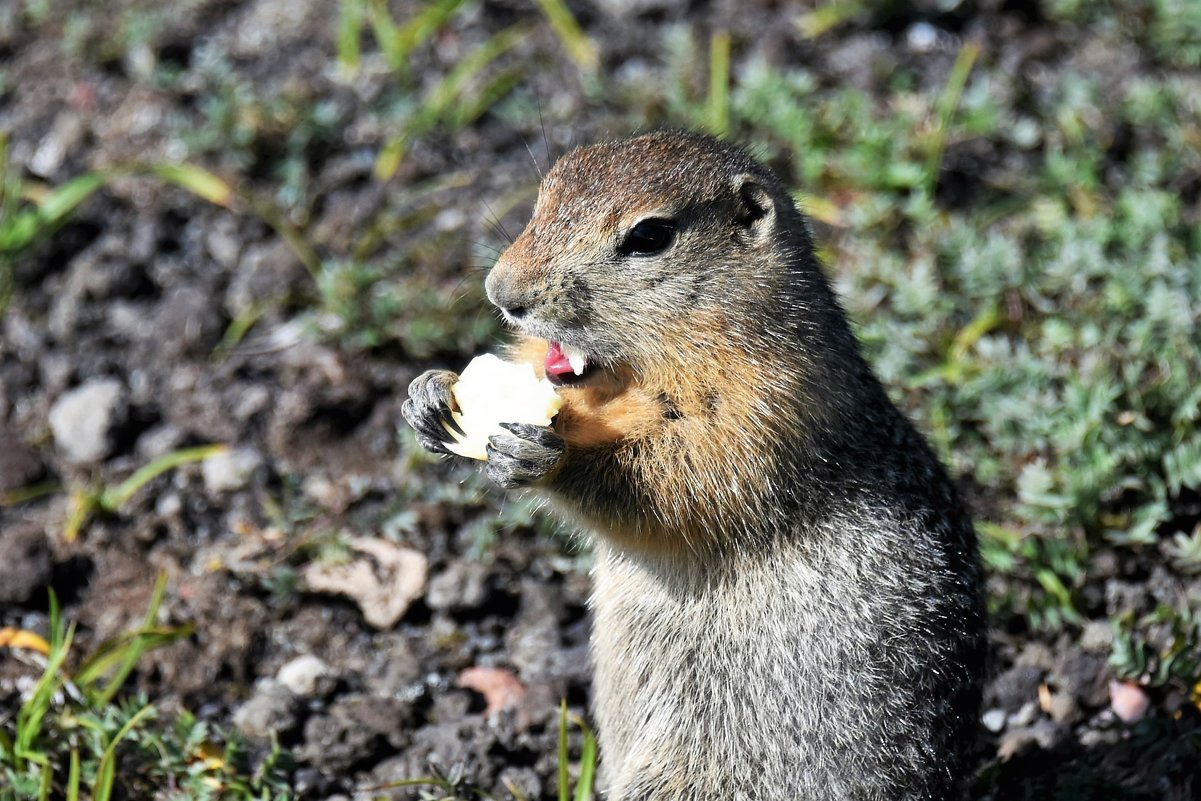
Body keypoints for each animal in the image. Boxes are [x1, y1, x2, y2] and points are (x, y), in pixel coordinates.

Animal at [403, 133, 984, 801]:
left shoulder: (764, 406)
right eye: (544, 193)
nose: (503, 293)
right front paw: (429, 395)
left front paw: (550, 458)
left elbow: (681, 482)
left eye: (649, 236)